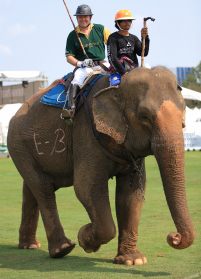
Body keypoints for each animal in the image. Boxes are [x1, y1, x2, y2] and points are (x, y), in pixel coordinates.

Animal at [7, 66, 195, 266]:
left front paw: (132, 261)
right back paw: (63, 249)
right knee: (43, 188)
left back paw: (29, 245)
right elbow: (86, 186)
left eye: (184, 112)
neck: (117, 86)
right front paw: (85, 239)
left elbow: (131, 194)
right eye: (144, 116)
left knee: (31, 188)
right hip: (18, 144)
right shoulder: (86, 132)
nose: (174, 237)